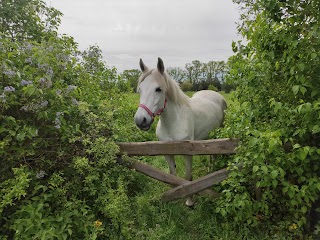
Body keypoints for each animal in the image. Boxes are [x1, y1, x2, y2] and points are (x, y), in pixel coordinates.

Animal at [134, 58, 226, 206]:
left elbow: (188, 177)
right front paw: (173, 197)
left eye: (158, 89)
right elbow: (171, 175)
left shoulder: (187, 153)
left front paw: (189, 201)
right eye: (140, 89)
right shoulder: (167, 153)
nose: (140, 120)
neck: (173, 122)